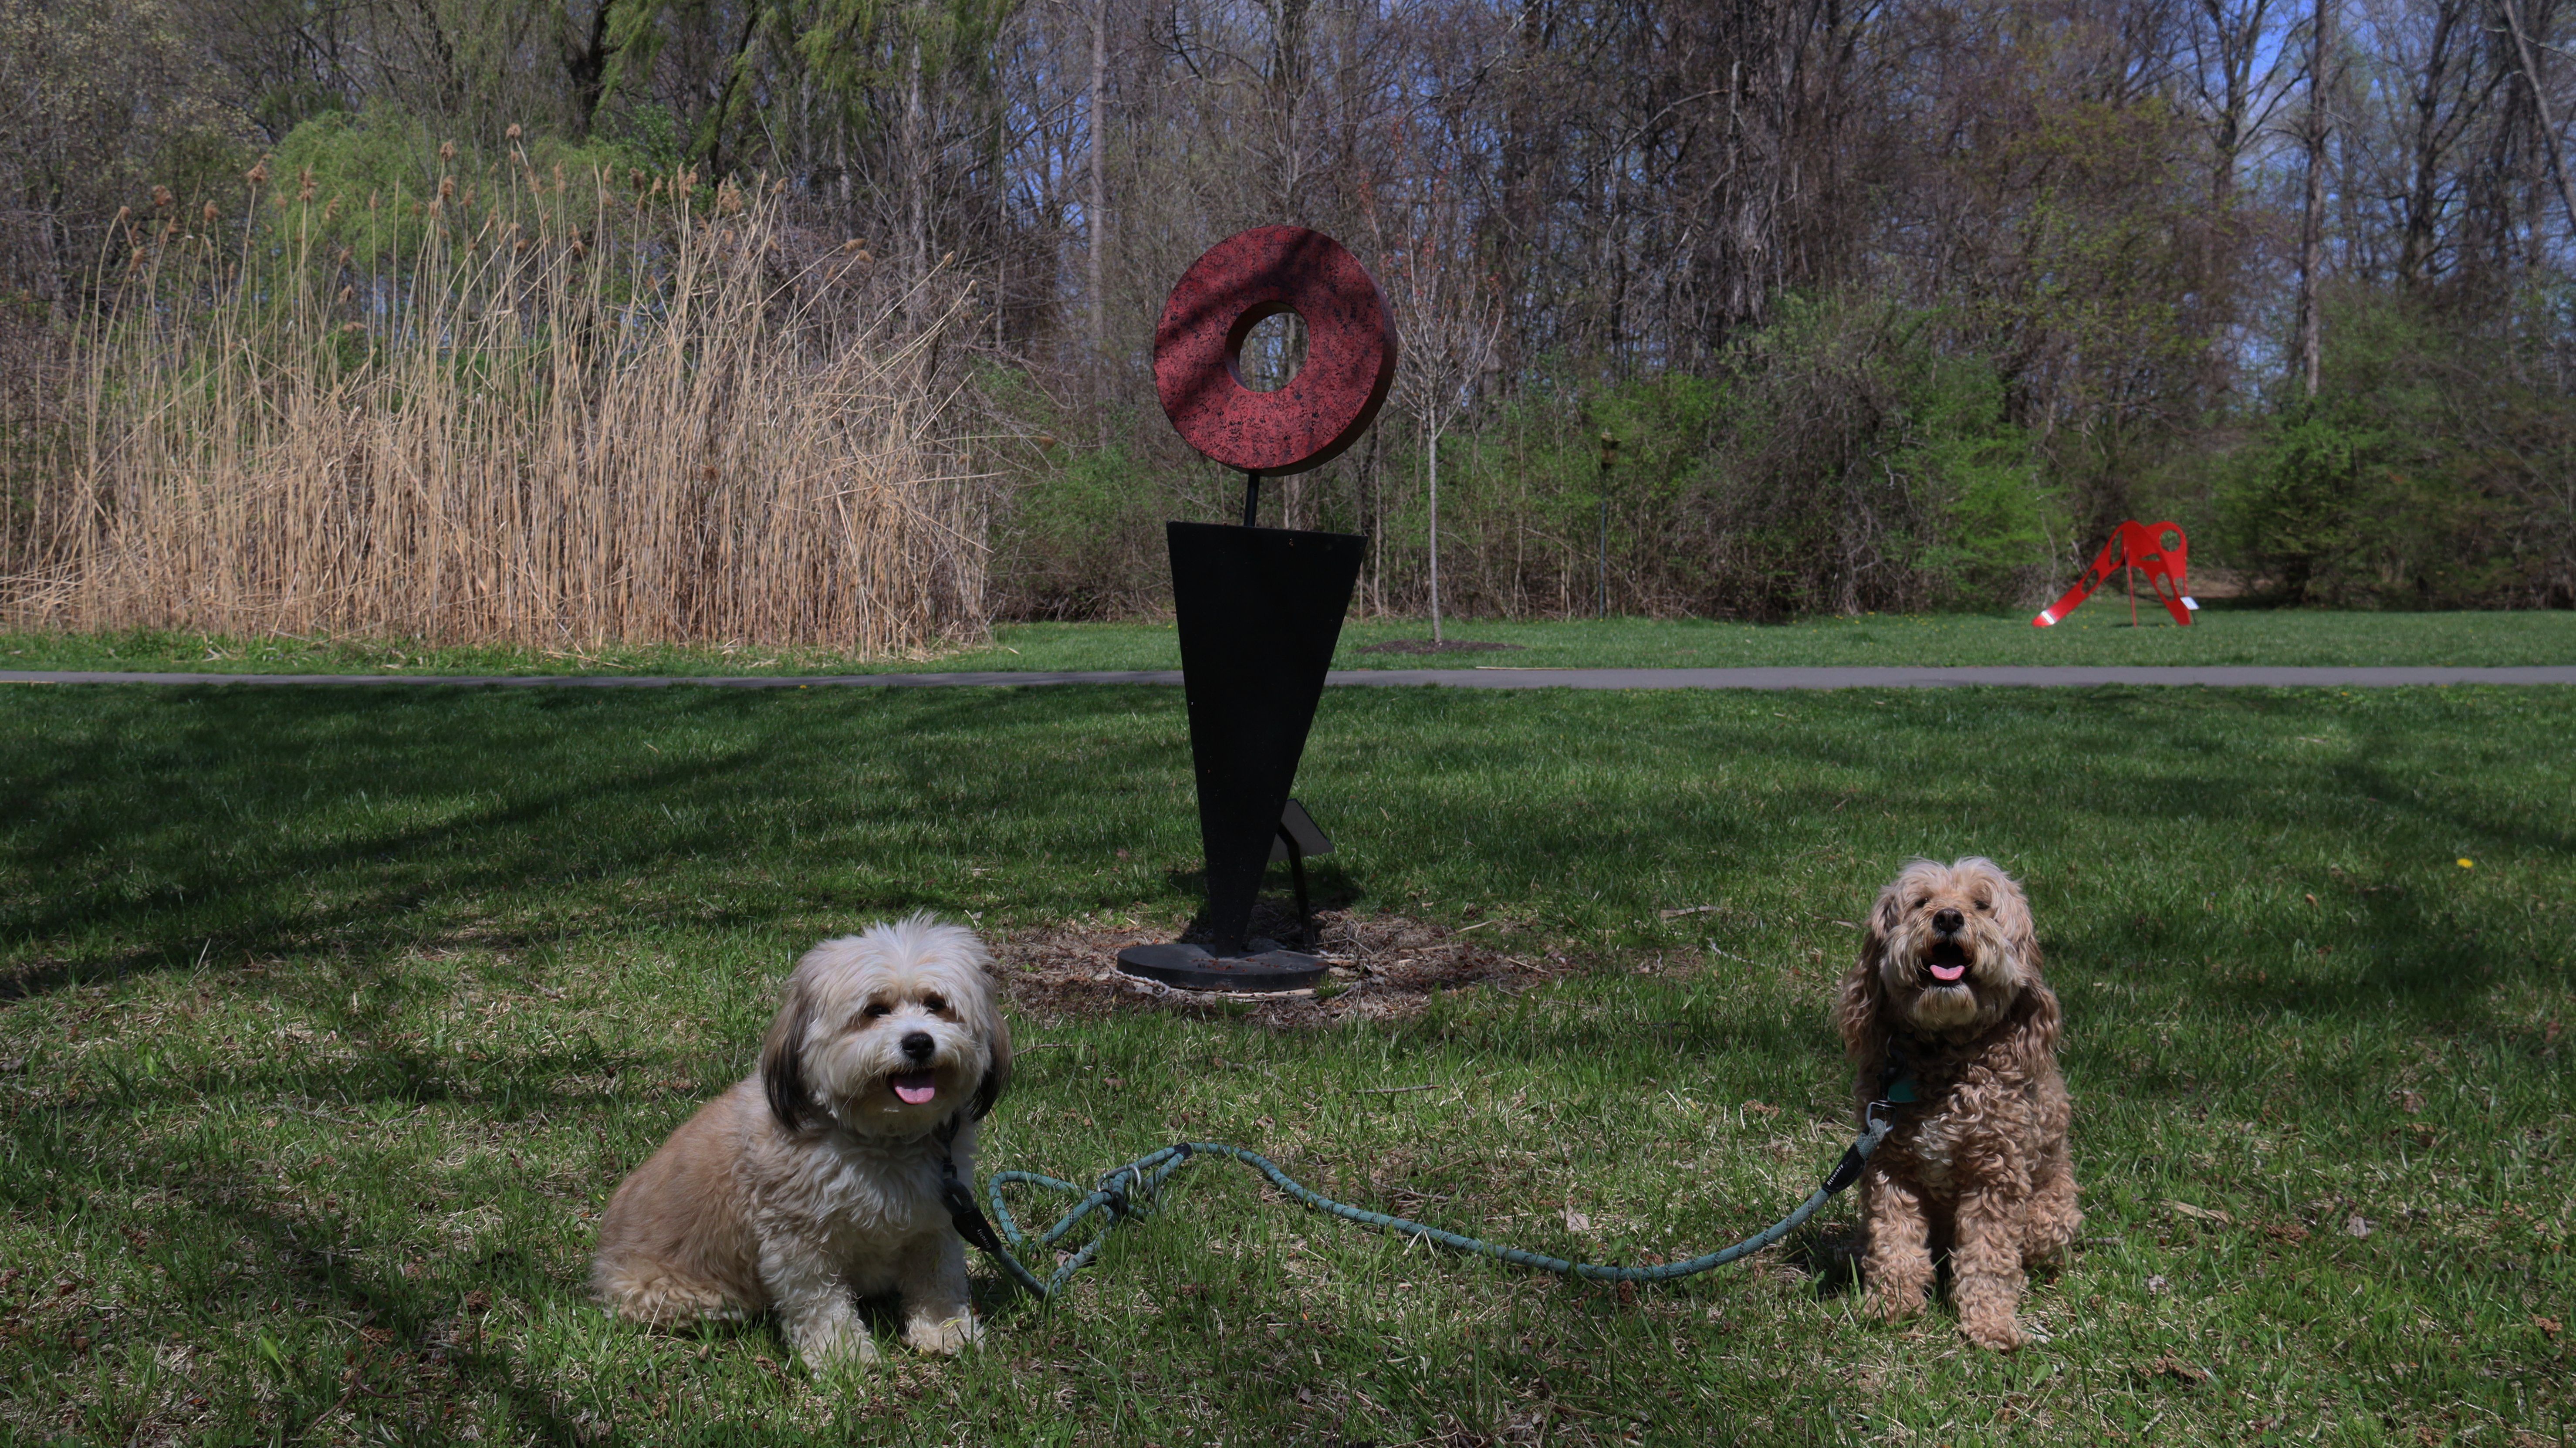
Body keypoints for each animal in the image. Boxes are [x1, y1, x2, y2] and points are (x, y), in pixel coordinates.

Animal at [592, 915, 1012, 1366]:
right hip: (688, 1296)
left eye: (936, 1004)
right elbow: (821, 1302)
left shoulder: (936, 1220)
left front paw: (946, 1330)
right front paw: (842, 1354)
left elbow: (938, 1279)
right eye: (874, 1010)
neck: (884, 1138)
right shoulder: (798, 1240)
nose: (919, 1042)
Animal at [1835, 857, 2078, 1349]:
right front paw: (1892, 1304)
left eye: (1982, 904)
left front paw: (1991, 1323)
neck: (1946, 1052)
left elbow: (1989, 1256)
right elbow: (1895, 1243)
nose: (1948, 918)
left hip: (2050, 1218)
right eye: (1921, 901)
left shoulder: (1995, 1177)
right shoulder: (1890, 1167)